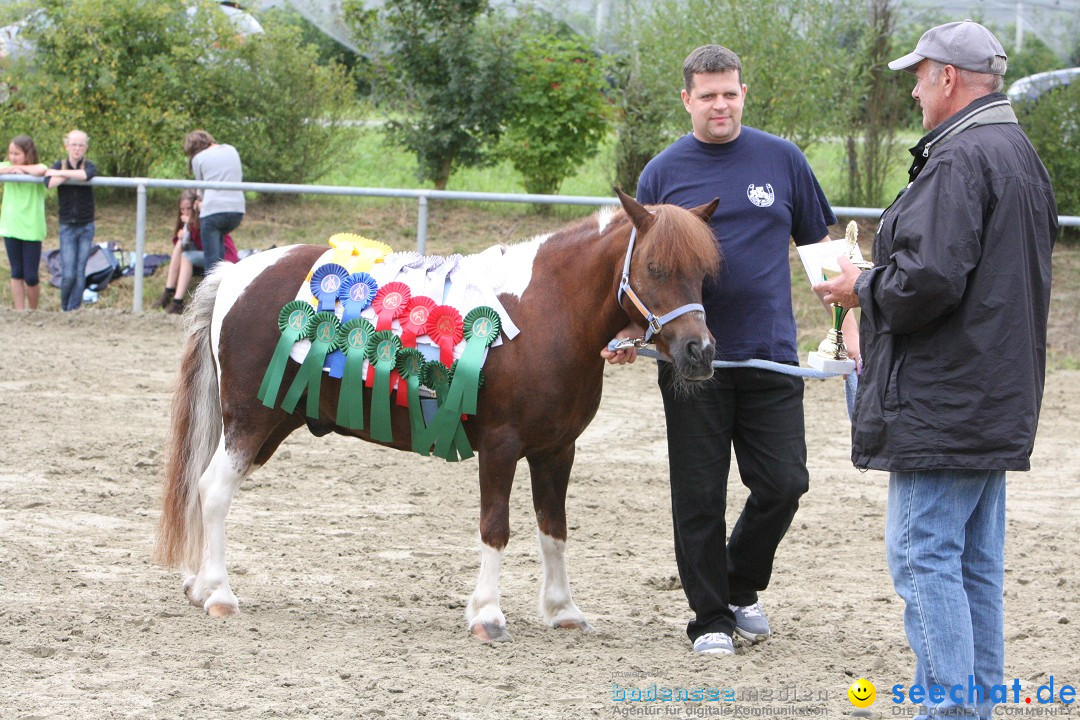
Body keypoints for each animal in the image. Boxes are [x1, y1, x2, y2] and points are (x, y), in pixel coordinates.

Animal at [156, 188, 721, 643]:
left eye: (703, 273)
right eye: (655, 269)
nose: (700, 351)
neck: (546, 314)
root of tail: (237, 273)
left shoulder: (557, 451)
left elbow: (553, 529)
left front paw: (563, 610)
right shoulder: (500, 446)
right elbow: (496, 527)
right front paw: (488, 615)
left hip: (271, 423)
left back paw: (200, 585)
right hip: (251, 420)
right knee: (213, 490)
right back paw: (219, 593)